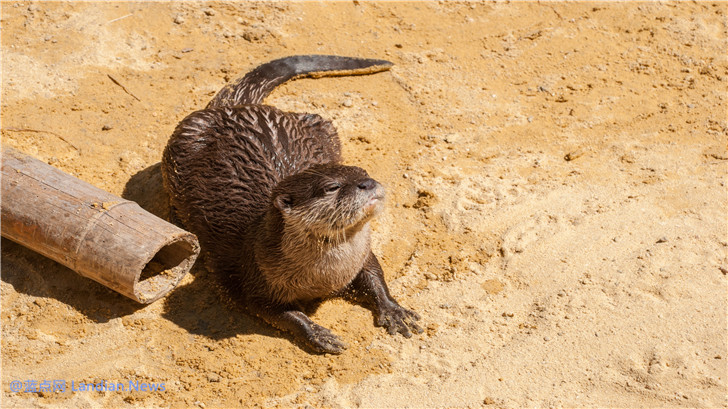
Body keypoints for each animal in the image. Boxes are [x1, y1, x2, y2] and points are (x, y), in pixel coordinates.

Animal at [159, 55, 420, 352]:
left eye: (363, 173)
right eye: (332, 187)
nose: (367, 183)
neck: (326, 277)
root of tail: (235, 107)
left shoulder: (362, 258)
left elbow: (375, 275)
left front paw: (393, 309)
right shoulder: (253, 275)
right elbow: (275, 311)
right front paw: (316, 332)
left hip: (321, 123)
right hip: (181, 143)